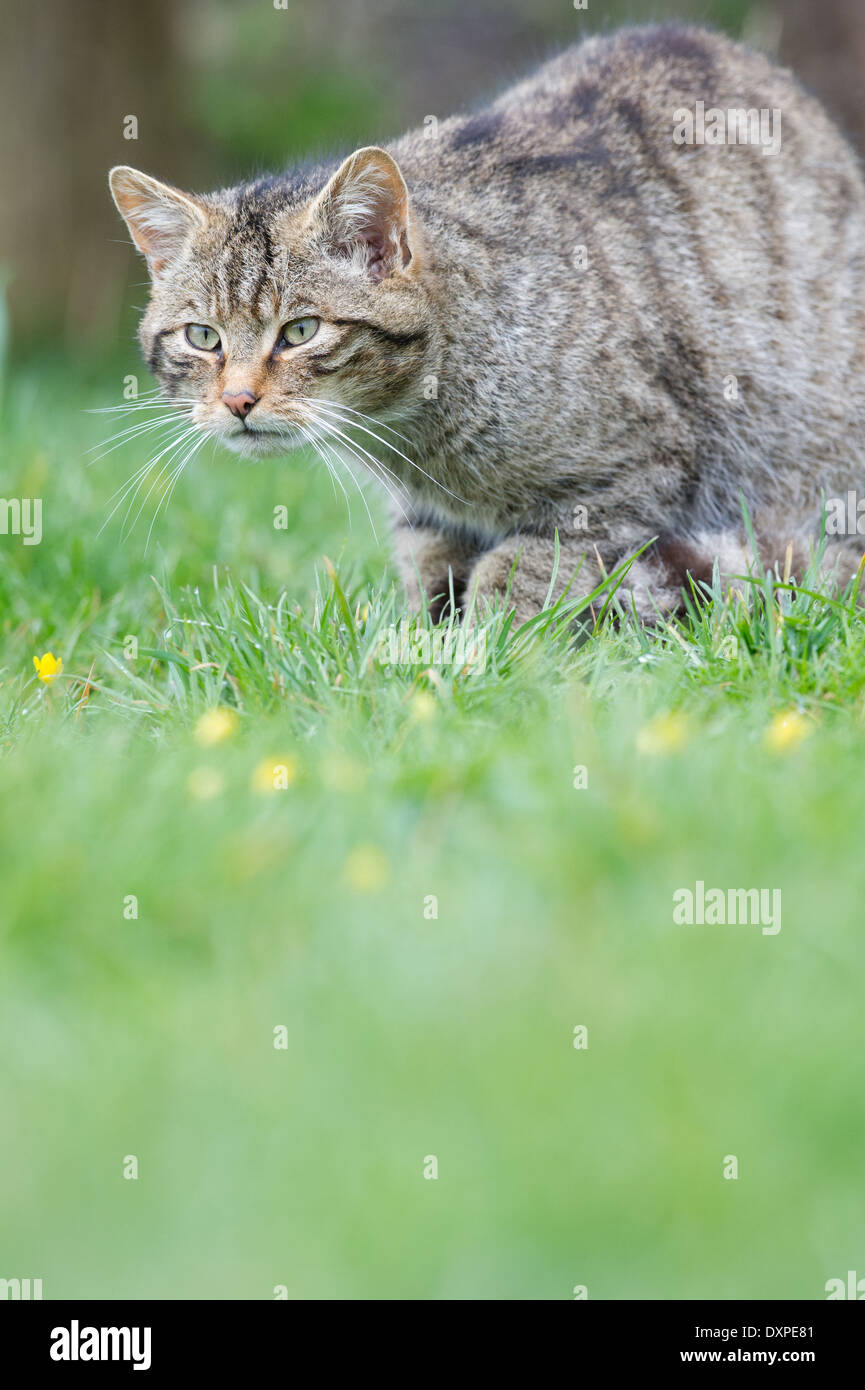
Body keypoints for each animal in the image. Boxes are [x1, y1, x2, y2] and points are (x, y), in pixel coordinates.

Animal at [111, 24, 865, 622]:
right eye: (202, 337)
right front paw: (425, 646)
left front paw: (485, 653)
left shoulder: (623, 481)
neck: (411, 438)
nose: (238, 401)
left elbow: (517, 573)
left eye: (300, 331)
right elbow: (431, 577)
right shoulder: (428, 522)